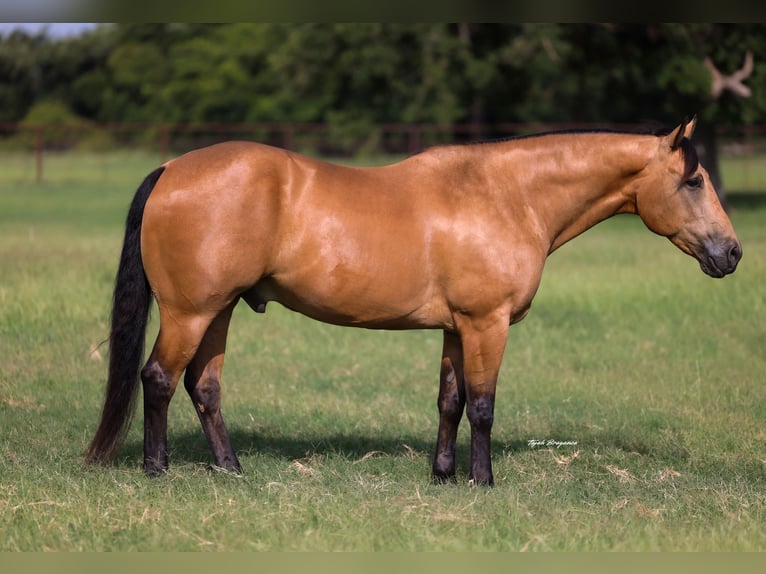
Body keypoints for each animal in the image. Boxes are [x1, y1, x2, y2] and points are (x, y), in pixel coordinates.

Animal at [85, 116, 741, 485]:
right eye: (693, 181)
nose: (732, 253)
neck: (506, 195)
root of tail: (172, 168)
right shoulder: (487, 324)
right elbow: (483, 405)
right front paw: (483, 481)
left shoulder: (456, 328)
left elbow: (450, 401)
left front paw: (443, 475)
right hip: (190, 312)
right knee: (159, 378)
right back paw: (156, 469)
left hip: (217, 311)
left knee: (205, 386)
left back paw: (230, 468)